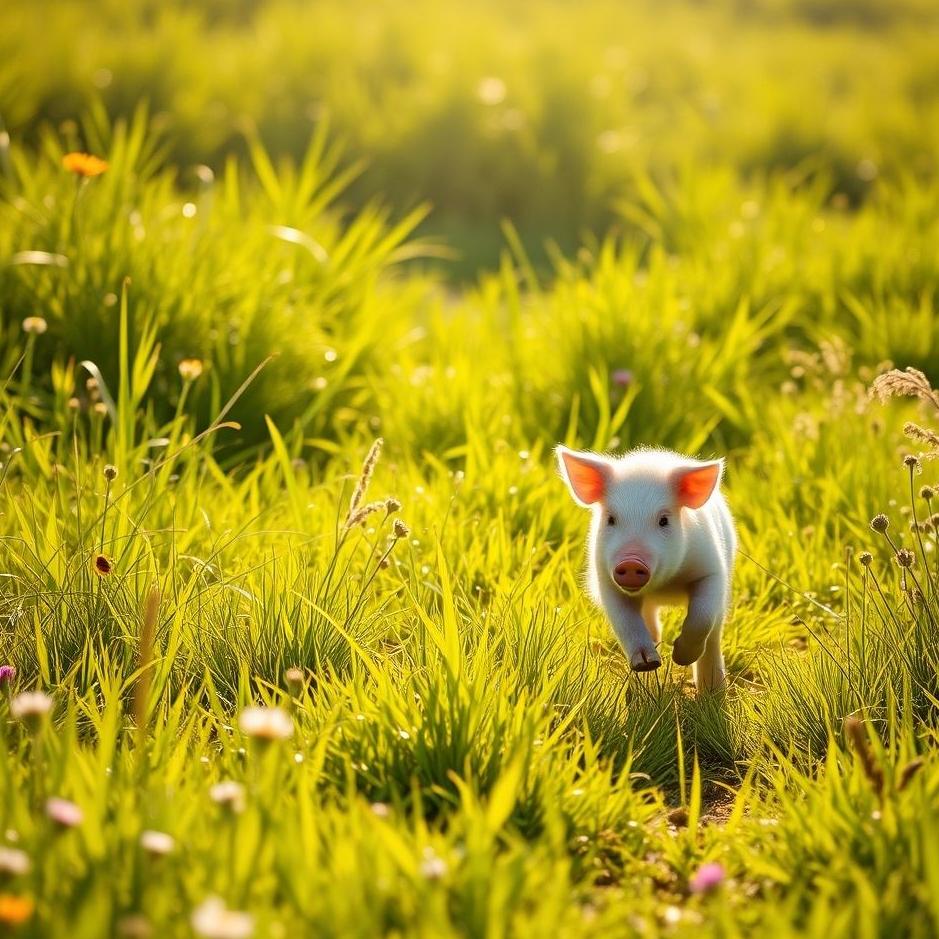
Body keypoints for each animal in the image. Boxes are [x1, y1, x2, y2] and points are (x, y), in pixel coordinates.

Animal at [556, 446, 736, 691]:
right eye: (611, 519)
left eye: (663, 521)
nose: (631, 562)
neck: (664, 587)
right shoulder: (607, 582)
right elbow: (626, 622)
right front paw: (647, 664)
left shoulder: (711, 571)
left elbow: (702, 617)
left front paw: (681, 657)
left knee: (714, 634)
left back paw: (713, 692)